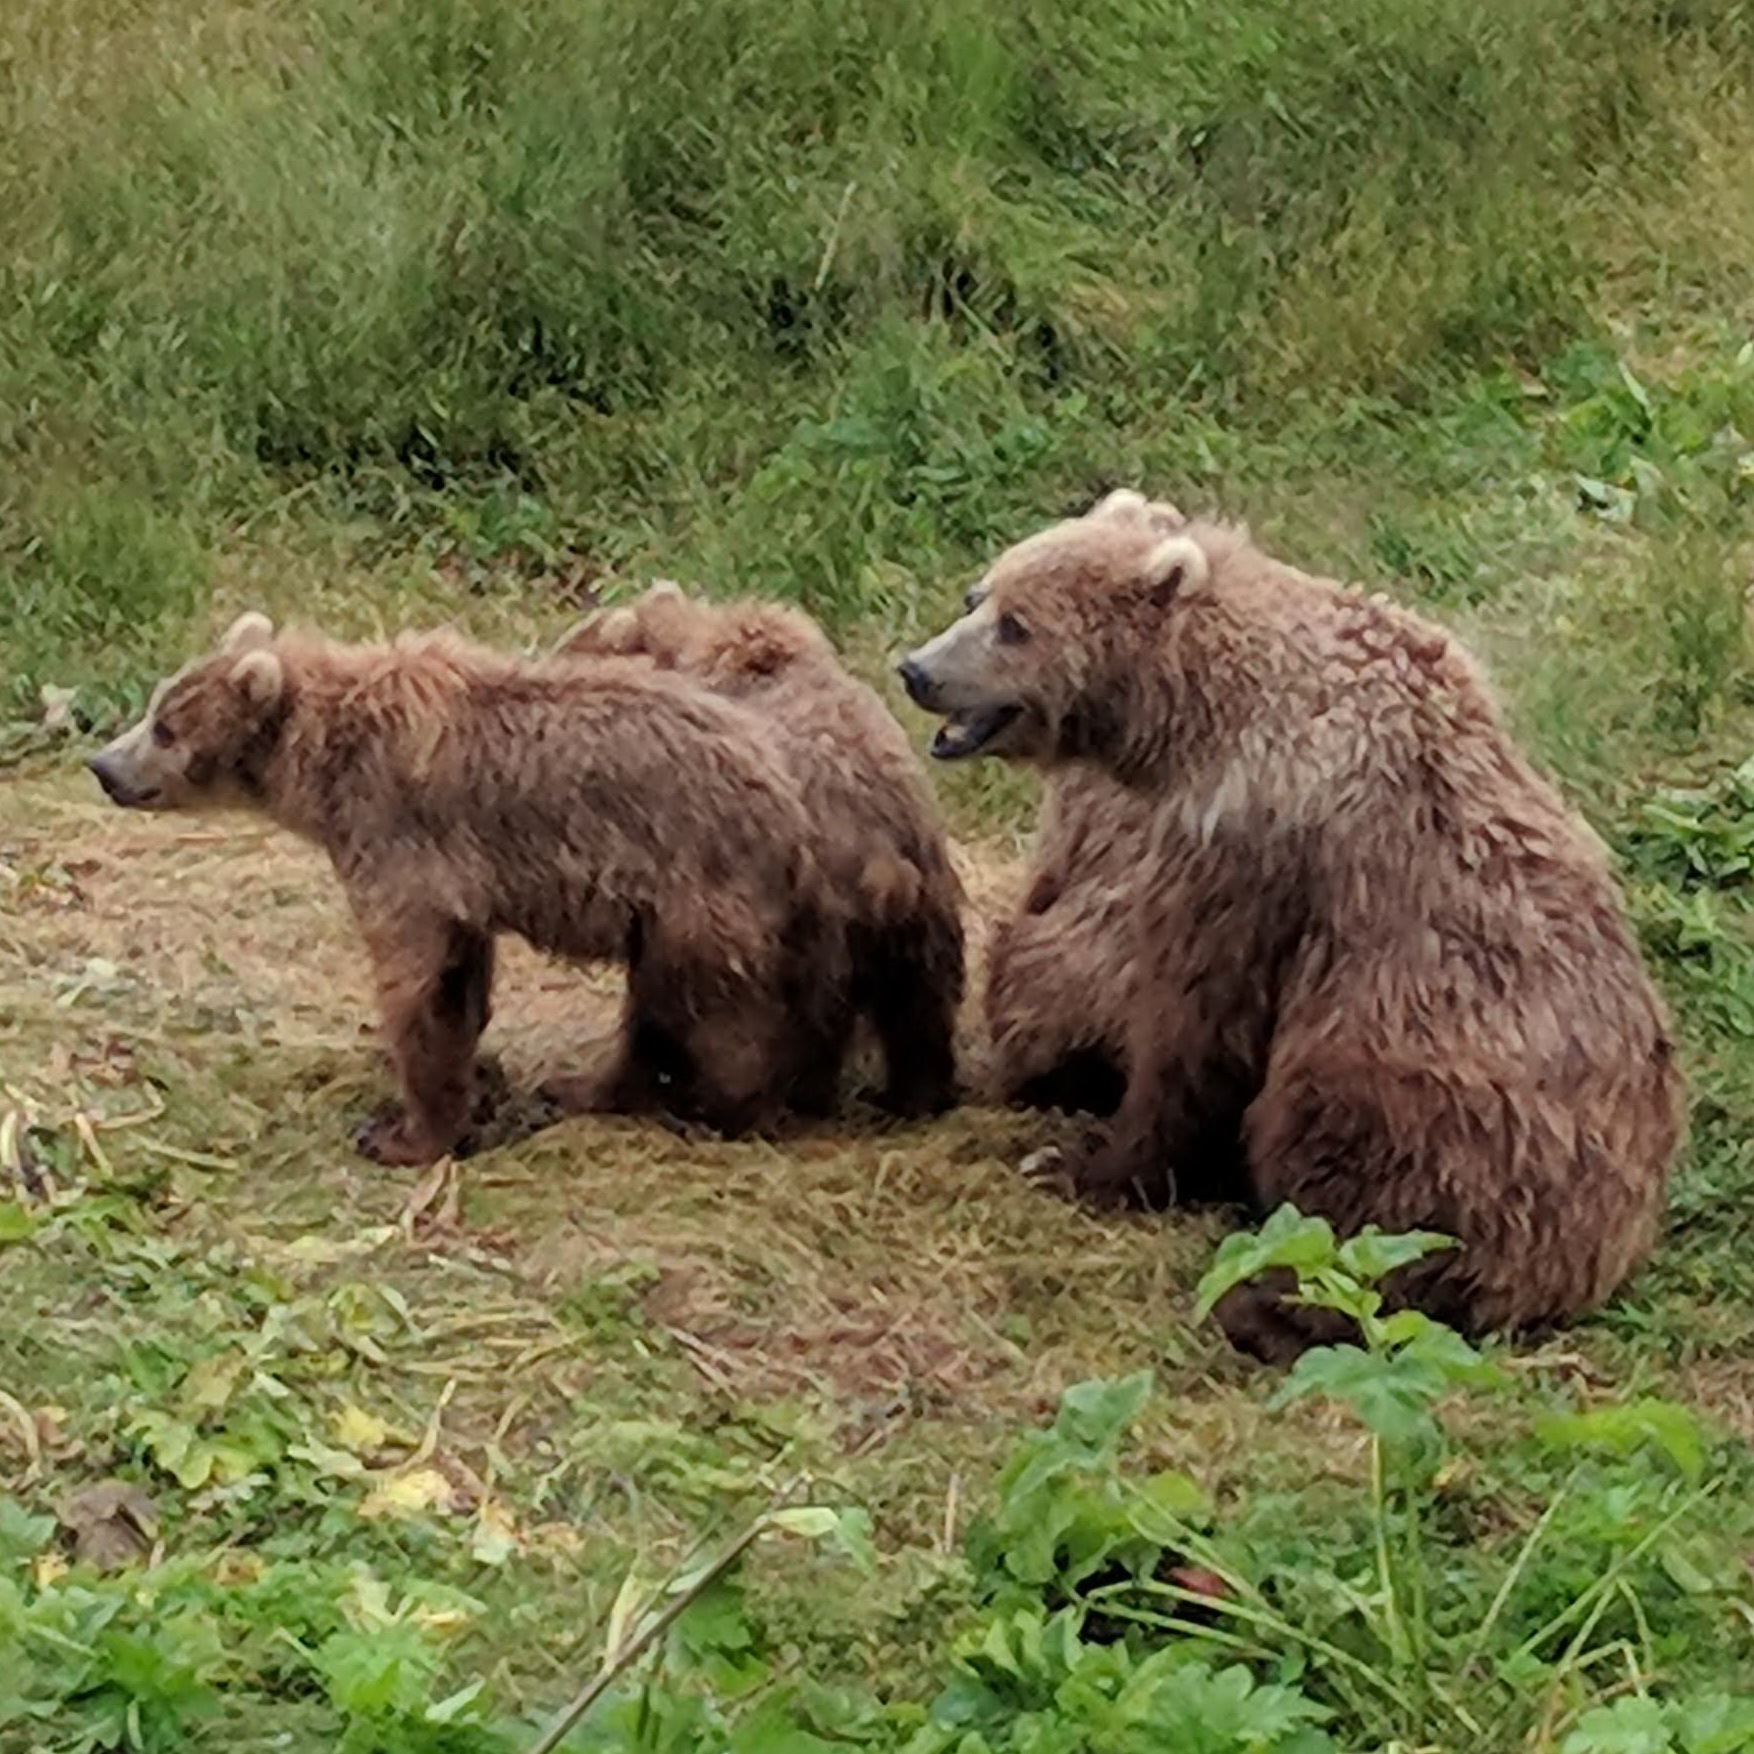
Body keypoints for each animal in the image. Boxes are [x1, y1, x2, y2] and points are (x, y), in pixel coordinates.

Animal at [89, 617, 841, 1164]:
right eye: (154, 706)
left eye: (167, 727)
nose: (103, 766)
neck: (324, 765)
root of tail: (788, 795)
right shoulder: (457, 879)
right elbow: (464, 978)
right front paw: (474, 1084)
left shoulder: (398, 840)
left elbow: (421, 982)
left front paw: (401, 1132)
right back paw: (583, 1087)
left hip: (693, 888)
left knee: (711, 1008)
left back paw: (721, 1107)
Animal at [905, 491, 1683, 1354]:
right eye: (978, 595)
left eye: (1018, 625)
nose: (919, 670)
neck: (1202, 713)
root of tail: (1608, 1249)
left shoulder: (1255, 839)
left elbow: (1196, 1024)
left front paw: (1085, 1161)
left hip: (1448, 1098)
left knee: (1372, 1209)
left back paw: (1261, 1308)